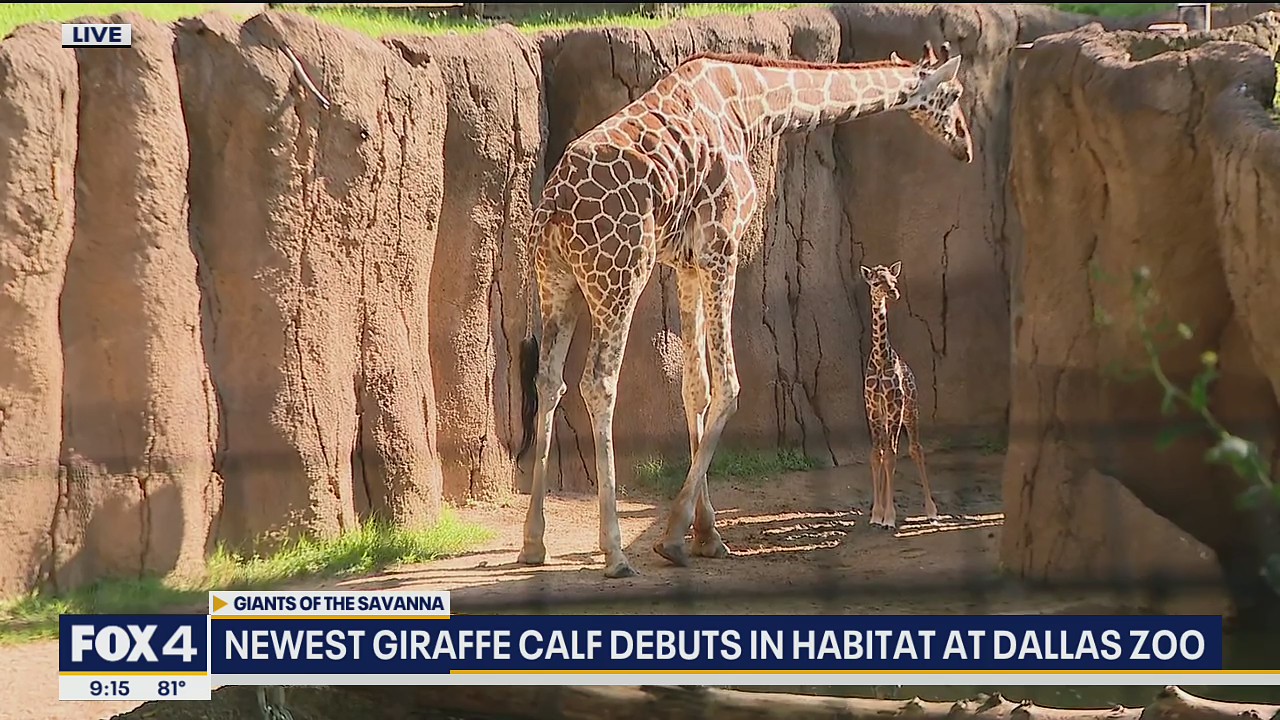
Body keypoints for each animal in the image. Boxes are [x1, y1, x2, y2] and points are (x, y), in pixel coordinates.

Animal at [859, 261, 939, 530]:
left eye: (893, 280)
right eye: (876, 282)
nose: (894, 293)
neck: (880, 357)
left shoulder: (895, 406)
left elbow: (893, 456)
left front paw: (890, 517)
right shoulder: (873, 408)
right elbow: (878, 454)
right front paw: (876, 514)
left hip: (910, 411)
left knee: (916, 448)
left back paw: (932, 511)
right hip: (888, 416)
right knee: (886, 449)